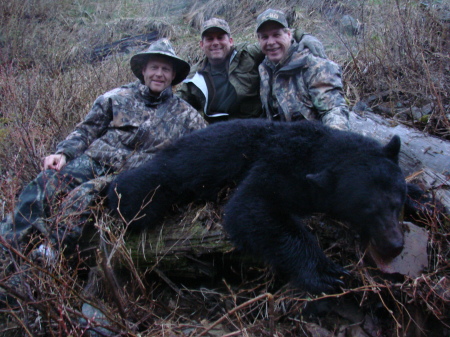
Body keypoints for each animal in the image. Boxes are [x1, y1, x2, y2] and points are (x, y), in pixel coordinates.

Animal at [107, 119, 406, 292]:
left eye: (396, 201)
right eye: (367, 209)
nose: (394, 245)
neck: (318, 147)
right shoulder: (282, 162)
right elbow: (250, 206)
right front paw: (324, 271)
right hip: (169, 173)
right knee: (139, 191)